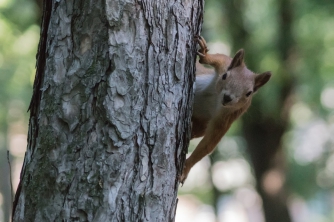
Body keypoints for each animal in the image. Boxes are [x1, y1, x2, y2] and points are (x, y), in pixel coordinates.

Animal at [180, 35, 272, 183]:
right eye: (225, 76)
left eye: (249, 93)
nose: (228, 97)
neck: (216, 97)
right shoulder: (225, 64)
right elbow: (220, 58)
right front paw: (205, 53)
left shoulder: (227, 116)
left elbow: (209, 143)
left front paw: (186, 167)